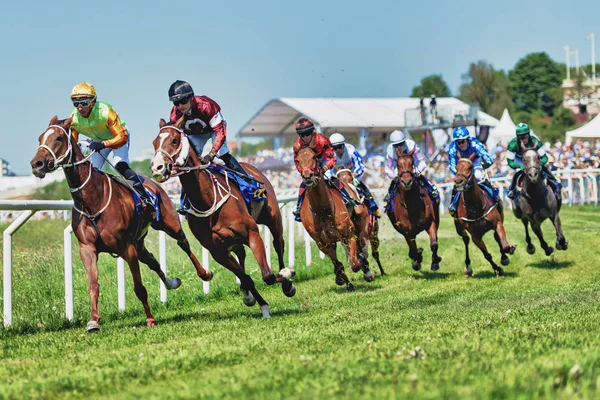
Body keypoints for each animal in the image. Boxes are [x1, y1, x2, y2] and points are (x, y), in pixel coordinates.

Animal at [31, 115, 213, 332]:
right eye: (40, 138)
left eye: (58, 138)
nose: (37, 164)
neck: (93, 201)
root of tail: (153, 184)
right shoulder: (87, 249)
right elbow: (93, 285)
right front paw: (93, 321)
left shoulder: (127, 248)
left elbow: (139, 288)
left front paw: (150, 319)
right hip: (139, 242)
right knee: (152, 260)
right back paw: (171, 283)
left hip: (169, 225)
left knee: (183, 243)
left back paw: (204, 273)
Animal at [150, 117, 296, 318]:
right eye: (154, 143)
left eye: (174, 140)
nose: (157, 168)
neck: (207, 199)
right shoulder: (217, 251)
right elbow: (247, 278)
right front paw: (260, 303)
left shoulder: (252, 233)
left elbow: (267, 275)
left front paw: (287, 275)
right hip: (232, 241)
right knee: (241, 254)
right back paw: (247, 293)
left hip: (272, 218)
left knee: (278, 244)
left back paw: (287, 282)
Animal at [292, 145, 372, 290]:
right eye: (297, 160)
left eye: (314, 157)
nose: (307, 176)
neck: (323, 210)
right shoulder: (322, 243)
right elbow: (337, 264)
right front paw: (342, 279)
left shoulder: (348, 234)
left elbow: (355, 263)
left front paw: (360, 264)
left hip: (360, 218)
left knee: (362, 240)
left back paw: (367, 269)